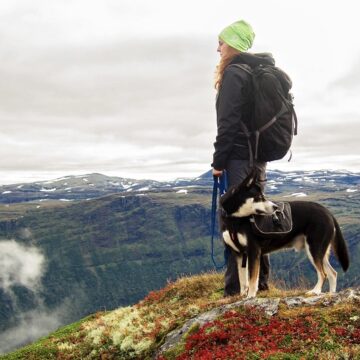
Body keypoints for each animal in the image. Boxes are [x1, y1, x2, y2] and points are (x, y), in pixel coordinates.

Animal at [219, 172, 348, 298]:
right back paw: (331, 294)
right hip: (320, 251)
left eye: (263, 196)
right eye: (259, 197)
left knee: (323, 273)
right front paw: (242, 295)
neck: (234, 220)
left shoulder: (254, 251)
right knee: (333, 273)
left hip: (314, 248)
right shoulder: (239, 254)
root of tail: (328, 212)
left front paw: (250, 297)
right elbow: (242, 280)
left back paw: (315, 291)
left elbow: (252, 280)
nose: (275, 207)